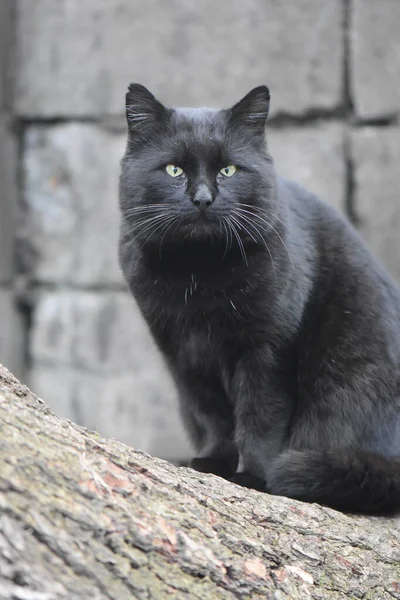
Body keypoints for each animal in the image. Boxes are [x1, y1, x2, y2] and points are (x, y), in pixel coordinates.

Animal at [118, 82, 400, 512]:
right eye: (174, 170)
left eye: (229, 170)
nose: (203, 198)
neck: (199, 276)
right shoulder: (185, 355)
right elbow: (211, 413)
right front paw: (213, 462)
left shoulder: (266, 349)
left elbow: (260, 416)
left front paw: (252, 476)